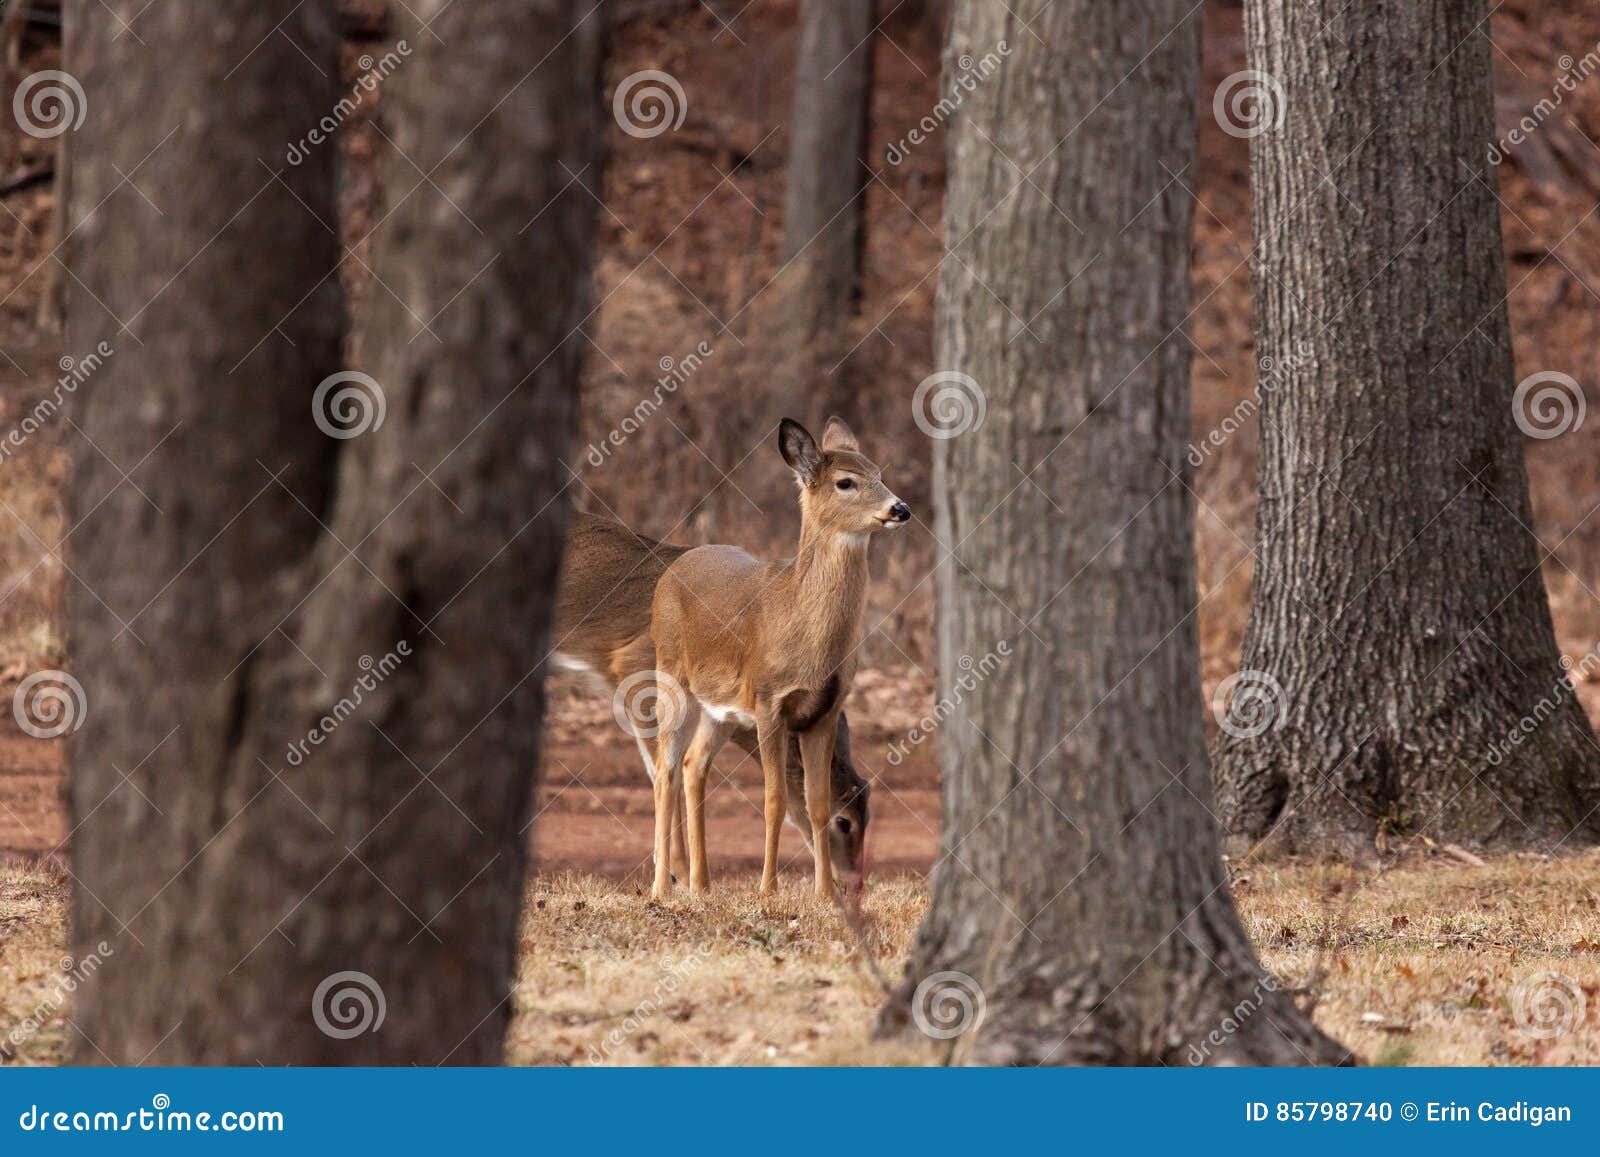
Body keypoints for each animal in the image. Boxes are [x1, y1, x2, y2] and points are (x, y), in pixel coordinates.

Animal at [550, 505, 876, 889]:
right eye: (844, 820)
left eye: (869, 810)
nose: (852, 881)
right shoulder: (635, 673)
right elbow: (663, 769)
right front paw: (676, 872)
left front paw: (689, 877)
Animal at [646, 419, 902, 902]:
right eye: (846, 482)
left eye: (880, 472)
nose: (901, 508)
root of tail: (676, 566)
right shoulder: (768, 701)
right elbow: (774, 799)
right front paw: (768, 888)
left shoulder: (825, 710)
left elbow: (816, 802)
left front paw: (825, 893)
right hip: (671, 677)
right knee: (664, 769)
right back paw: (661, 889)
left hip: (721, 710)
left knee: (693, 765)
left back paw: (702, 884)